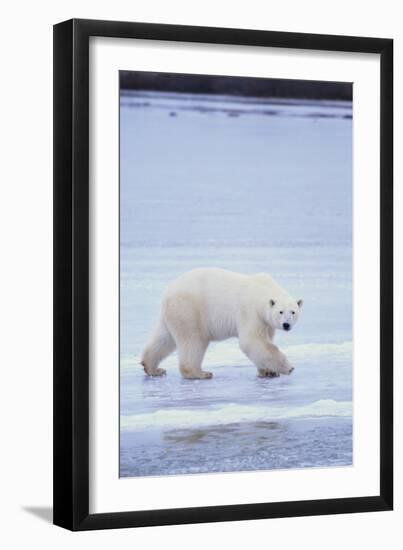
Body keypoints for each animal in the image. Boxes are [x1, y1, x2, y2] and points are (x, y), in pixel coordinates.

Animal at [141, 270, 304, 382]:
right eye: (281, 311)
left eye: (293, 312)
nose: (286, 324)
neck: (261, 290)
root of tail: (168, 293)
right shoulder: (250, 312)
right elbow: (253, 342)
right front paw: (288, 367)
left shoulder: (265, 322)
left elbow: (266, 340)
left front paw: (269, 371)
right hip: (190, 310)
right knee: (193, 341)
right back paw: (201, 373)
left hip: (173, 315)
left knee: (164, 338)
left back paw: (153, 368)